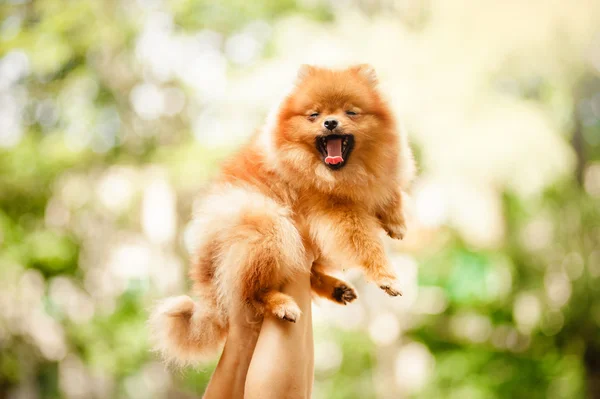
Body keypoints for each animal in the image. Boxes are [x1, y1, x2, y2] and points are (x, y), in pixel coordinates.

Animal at [149, 65, 412, 366]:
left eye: (351, 112)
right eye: (314, 115)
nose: (330, 123)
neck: (341, 174)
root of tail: (204, 278)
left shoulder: (375, 178)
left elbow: (391, 189)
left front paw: (396, 221)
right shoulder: (338, 213)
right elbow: (366, 244)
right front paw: (386, 276)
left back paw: (336, 288)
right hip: (266, 223)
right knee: (249, 292)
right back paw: (281, 303)